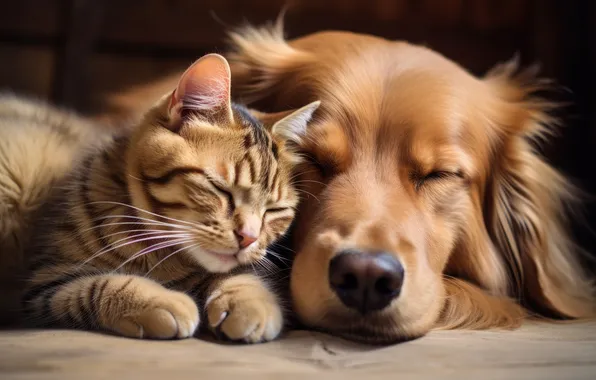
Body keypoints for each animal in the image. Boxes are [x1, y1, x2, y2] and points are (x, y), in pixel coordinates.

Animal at [8, 53, 322, 342]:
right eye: (220, 188)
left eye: (275, 210)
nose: (249, 238)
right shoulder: (47, 280)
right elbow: (97, 286)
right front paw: (159, 300)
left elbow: (240, 273)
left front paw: (251, 302)